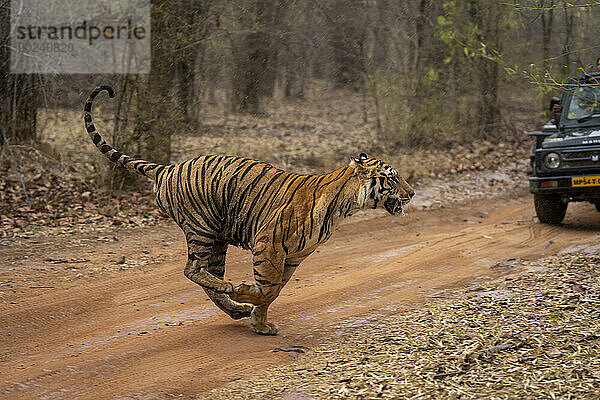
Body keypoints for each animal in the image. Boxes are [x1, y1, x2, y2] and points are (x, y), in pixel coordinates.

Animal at [83, 84, 412, 334]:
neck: (345, 206)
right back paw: (231, 290)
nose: (412, 194)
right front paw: (247, 296)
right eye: (393, 178)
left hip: (217, 239)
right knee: (193, 269)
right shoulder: (270, 244)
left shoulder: (294, 256)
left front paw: (259, 322)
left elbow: (274, 290)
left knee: (206, 274)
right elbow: (268, 288)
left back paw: (234, 306)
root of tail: (169, 167)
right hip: (201, 227)